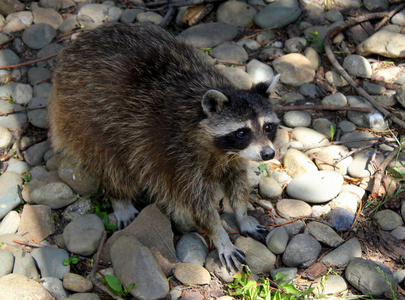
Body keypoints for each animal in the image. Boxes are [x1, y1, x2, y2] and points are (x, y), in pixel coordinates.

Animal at [47, 22, 280, 270]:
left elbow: (236, 183)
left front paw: (242, 215)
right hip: (86, 119)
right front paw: (220, 236)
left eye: (267, 127)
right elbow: (197, 205)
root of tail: (77, 44)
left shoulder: (232, 157)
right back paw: (119, 197)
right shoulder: (176, 157)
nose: (268, 154)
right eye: (242, 132)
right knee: (109, 162)